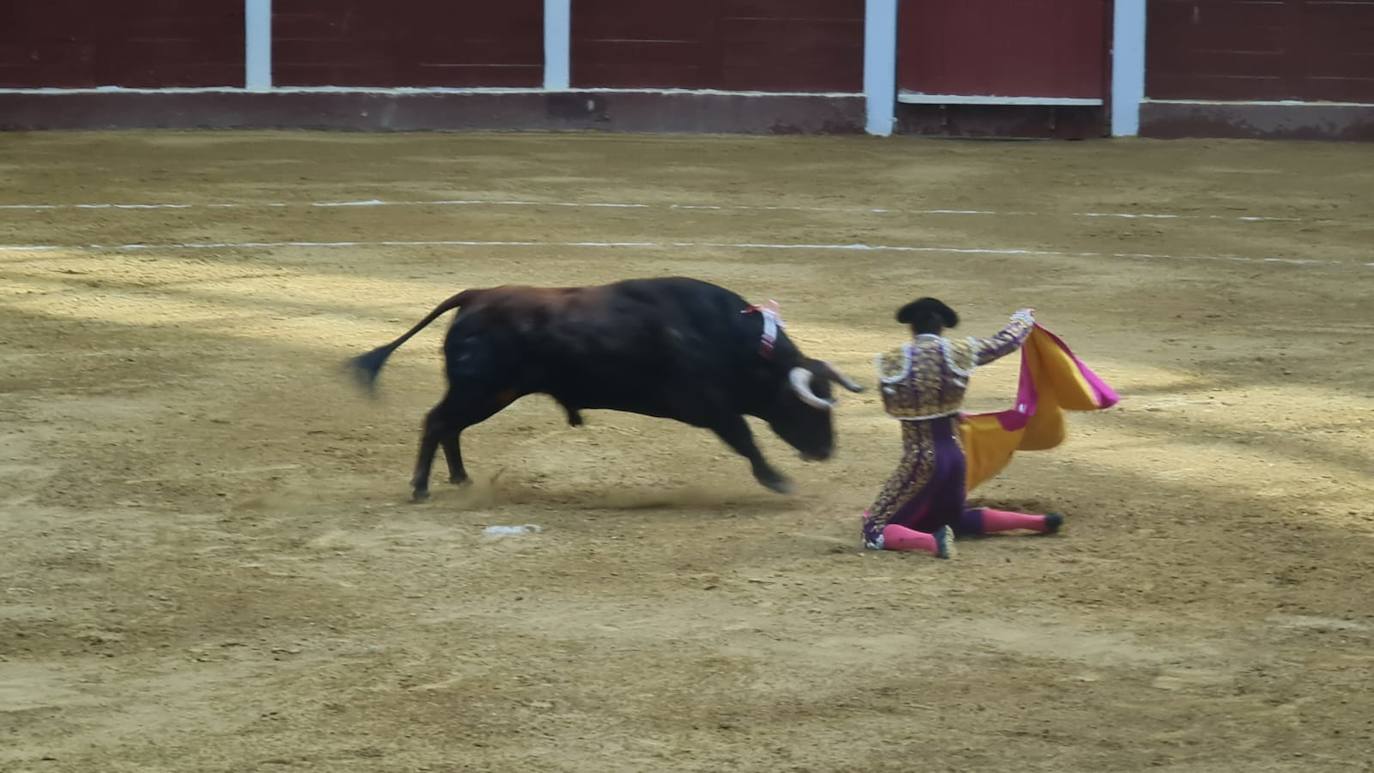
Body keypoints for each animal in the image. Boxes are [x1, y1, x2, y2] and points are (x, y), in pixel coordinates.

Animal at [346, 278, 857, 502]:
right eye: (808, 406)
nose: (827, 451)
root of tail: (475, 295)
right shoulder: (712, 407)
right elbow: (747, 441)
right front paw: (778, 481)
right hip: (482, 388)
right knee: (437, 421)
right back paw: (420, 488)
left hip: (492, 393)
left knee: (450, 426)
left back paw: (460, 479)